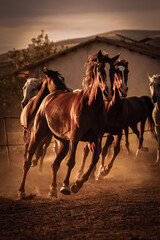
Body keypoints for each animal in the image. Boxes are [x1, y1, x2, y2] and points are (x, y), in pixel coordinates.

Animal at [17, 50, 120, 199]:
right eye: (99, 69)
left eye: (113, 70)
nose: (108, 93)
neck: (91, 105)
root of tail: (50, 96)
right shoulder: (75, 137)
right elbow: (71, 161)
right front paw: (66, 186)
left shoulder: (95, 138)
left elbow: (94, 159)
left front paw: (77, 184)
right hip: (38, 135)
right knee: (27, 161)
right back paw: (22, 191)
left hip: (63, 142)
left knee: (54, 164)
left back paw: (52, 189)